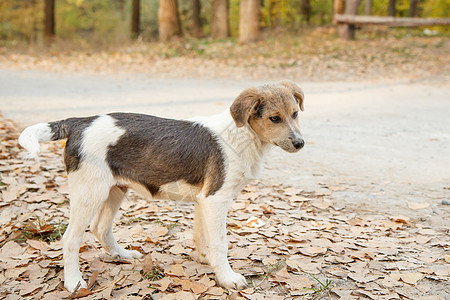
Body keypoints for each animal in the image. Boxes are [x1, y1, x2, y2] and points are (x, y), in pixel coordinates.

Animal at [18, 80, 306, 292]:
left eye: (295, 114)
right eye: (274, 118)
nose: (301, 144)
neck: (244, 134)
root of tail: (80, 121)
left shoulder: (204, 200)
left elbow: (202, 236)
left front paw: (205, 260)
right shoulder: (216, 198)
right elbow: (220, 242)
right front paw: (227, 278)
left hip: (114, 189)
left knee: (101, 228)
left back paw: (123, 255)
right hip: (90, 192)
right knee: (70, 239)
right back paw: (74, 283)